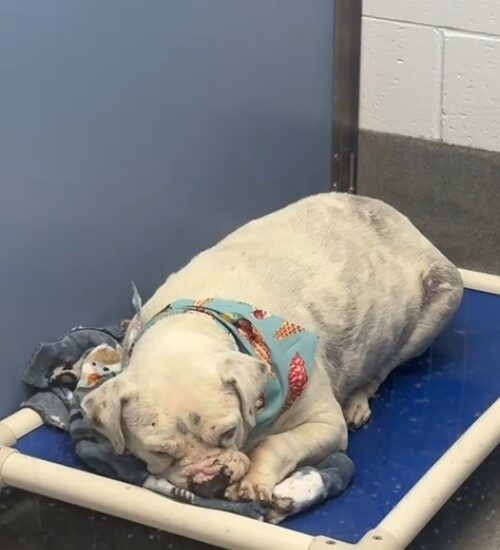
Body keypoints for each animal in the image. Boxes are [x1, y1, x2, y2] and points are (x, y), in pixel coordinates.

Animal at [82, 193, 463, 503]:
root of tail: (405, 223)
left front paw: (255, 480)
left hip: (438, 303)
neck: (202, 320)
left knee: (383, 367)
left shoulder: (325, 424)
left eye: (228, 432)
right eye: (159, 451)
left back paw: (357, 401)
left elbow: (275, 442)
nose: (210, 481)